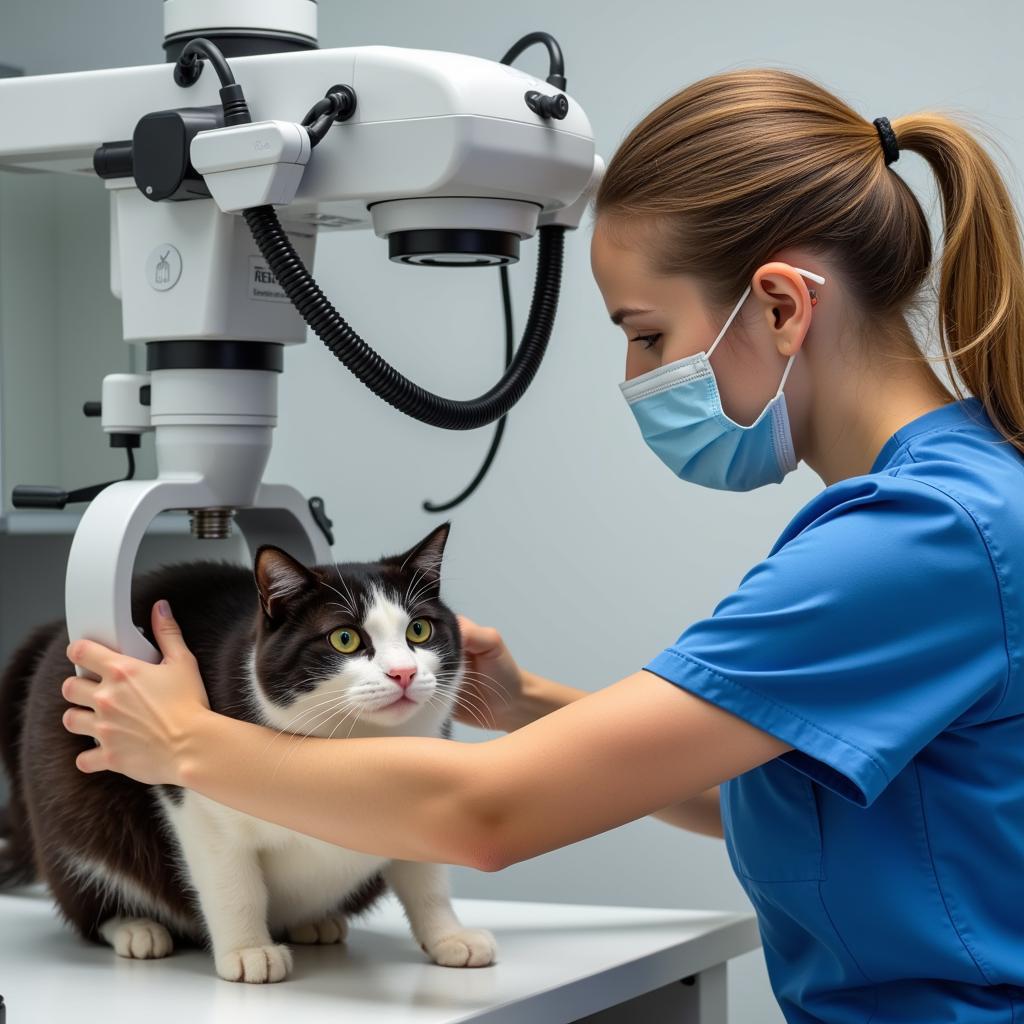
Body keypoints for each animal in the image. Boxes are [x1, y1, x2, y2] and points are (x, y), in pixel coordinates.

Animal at [0, 524, 497, 978]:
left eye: (419, 629)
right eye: (345, 638)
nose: (404, 673)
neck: (356, 744)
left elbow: (427, 876)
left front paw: (450, 936)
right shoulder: (195, 795)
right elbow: (233, 882)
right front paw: (248, 951)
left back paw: (316, 922)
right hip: (71, 815)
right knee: (90, 892)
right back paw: (135, 928)